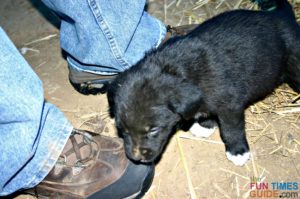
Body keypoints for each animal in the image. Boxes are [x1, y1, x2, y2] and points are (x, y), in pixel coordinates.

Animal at [108, 0, 300, 166]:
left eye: (153, 130)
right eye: (122, 130)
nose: (135, 158)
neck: (177, 69)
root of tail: (281, 16)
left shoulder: (230, 105)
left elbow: (231, 129)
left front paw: (238, 151)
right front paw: (205, 125)